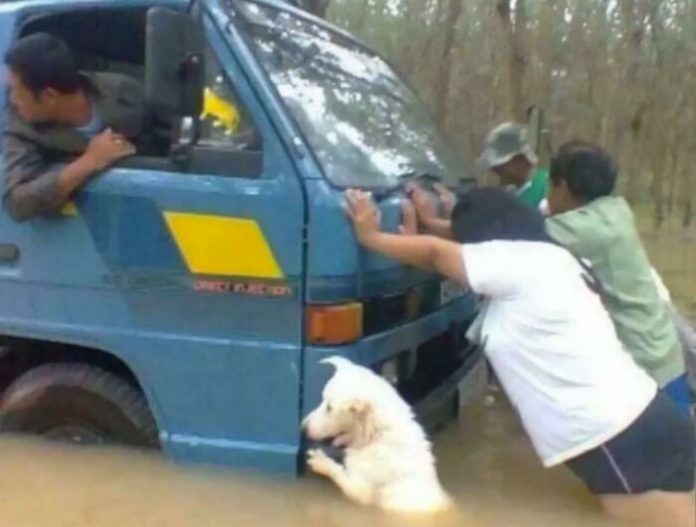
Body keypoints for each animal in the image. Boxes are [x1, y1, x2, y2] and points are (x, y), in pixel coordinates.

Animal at [304, 356, 454, 512]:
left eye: (329, 408)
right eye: (322, 400)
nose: (303, 428)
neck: (379, 436)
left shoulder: (361, 490)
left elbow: (338, 473)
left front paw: (321, 462)